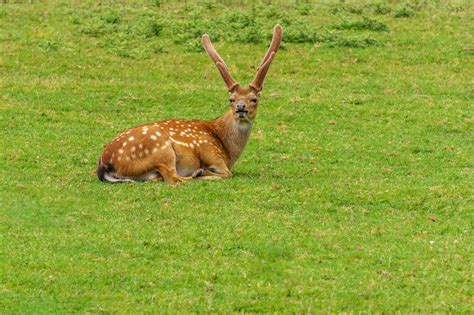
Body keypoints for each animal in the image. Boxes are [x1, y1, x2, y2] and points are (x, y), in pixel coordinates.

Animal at [96, 24, 282, 184]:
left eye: (254, 99)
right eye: (232, 99)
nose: (241, 108)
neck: (228, 149)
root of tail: (105, 163)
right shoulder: (210, 152)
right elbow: (228, 173)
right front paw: (203, 171)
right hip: (162, 150)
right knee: (174, 178)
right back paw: (197, 173)